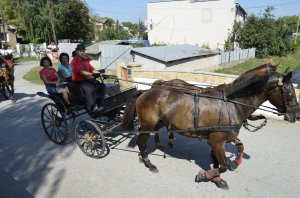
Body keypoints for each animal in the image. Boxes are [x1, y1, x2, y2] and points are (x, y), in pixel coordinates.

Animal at [122, 63, 300, 189]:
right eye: (289, 91)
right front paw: (205, 175)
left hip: (157, 123)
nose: (297, 115)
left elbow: (225, 157)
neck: (231, 103)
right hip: (148, 124)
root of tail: (146, 91)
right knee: (141, 142)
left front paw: (220, 176)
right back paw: (148, 162)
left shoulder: (223, 138)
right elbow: (222, 166)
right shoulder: (216, 141)